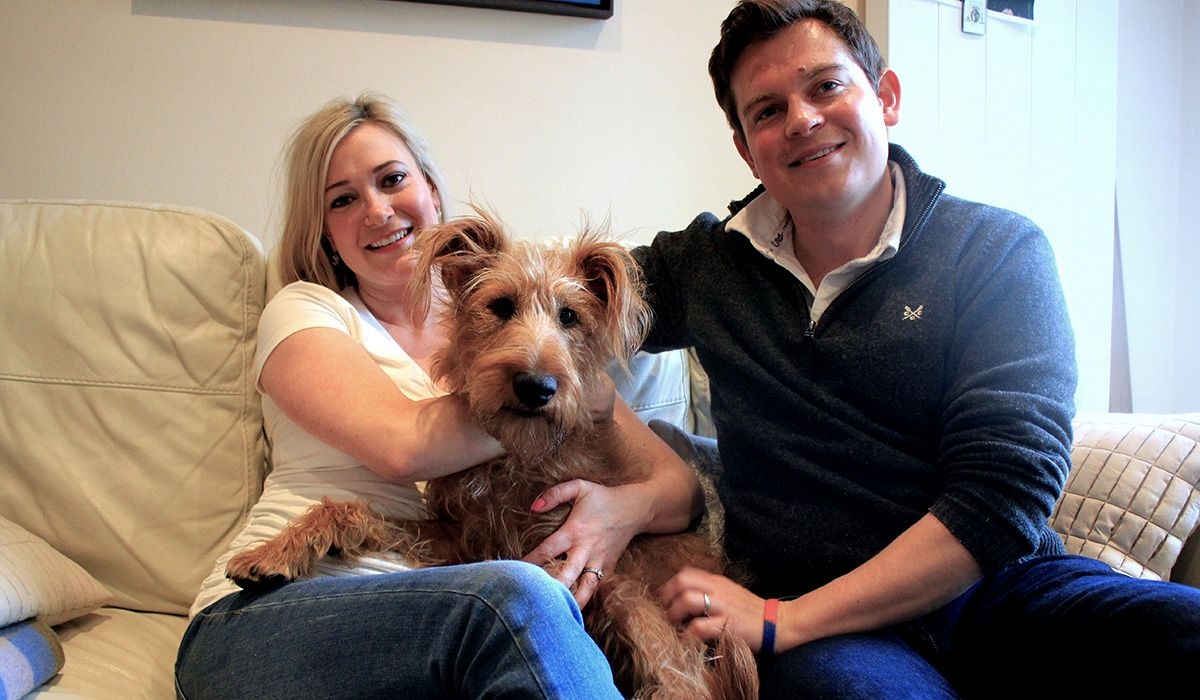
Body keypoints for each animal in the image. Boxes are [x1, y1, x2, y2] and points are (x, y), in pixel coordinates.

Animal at [226, 213, 758, 700]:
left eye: (569, 316)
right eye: (500, 306)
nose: (537, 386)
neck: (518, 456)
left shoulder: (564, 551)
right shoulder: (460, 541)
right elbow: (354, 510)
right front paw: (272, 552)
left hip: (631, 596)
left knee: (682, 683)